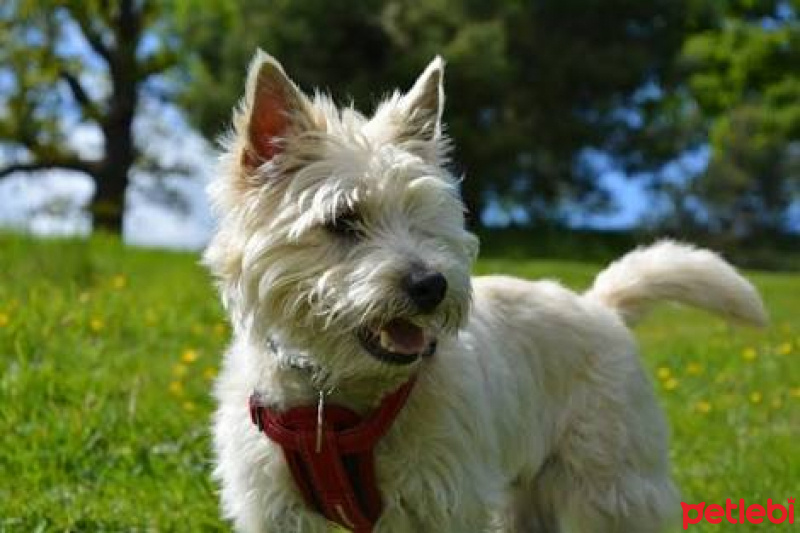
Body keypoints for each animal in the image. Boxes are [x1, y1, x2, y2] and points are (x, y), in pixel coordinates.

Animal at [203, 51, 764, 532]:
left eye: (426, 216)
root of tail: (598, 306)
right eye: (343, 220)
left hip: (612, 482)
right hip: (531, 493)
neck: (334, 403)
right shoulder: (275, 510)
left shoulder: (447, 498)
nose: (431, 285)